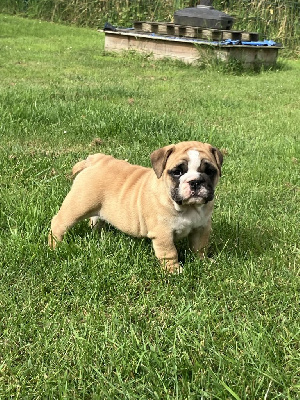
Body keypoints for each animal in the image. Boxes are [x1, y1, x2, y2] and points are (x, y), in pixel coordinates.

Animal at [48, 139, 223, 274]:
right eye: (177, 172)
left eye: (210, 171)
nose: (195, 181)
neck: (188, 208)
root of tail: (97, 160)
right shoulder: (163, 234)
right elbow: (170, 253)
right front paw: (174, 271)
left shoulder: (201, 228)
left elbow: (200, 247)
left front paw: (203, 262)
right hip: (78, 205)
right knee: (58, 223)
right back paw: (55, 246)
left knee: (96, 218)